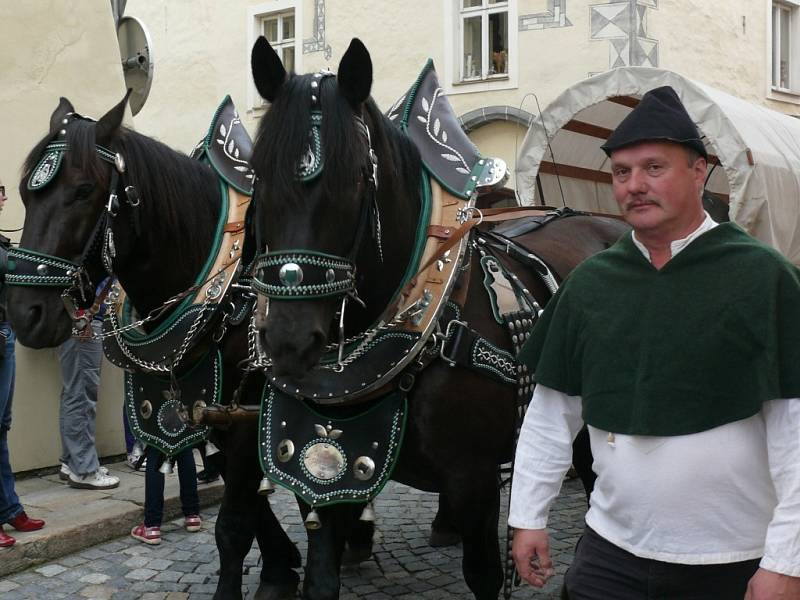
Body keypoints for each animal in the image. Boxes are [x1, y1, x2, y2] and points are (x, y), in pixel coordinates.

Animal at [6, 96, 302, 596]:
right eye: (27, 194)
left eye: (83, 190)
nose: (25, 314)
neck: (227, 290)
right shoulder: (217, 418)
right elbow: (253, 506)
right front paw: (281, 567)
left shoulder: (248, 417)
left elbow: (234, 524)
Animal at [250, 38, 632, 600]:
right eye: (257, 177)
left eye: (355, 180)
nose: (289, 342)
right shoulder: (322, 475)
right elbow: (321, 577)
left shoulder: (473, 479)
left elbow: (485, 575)